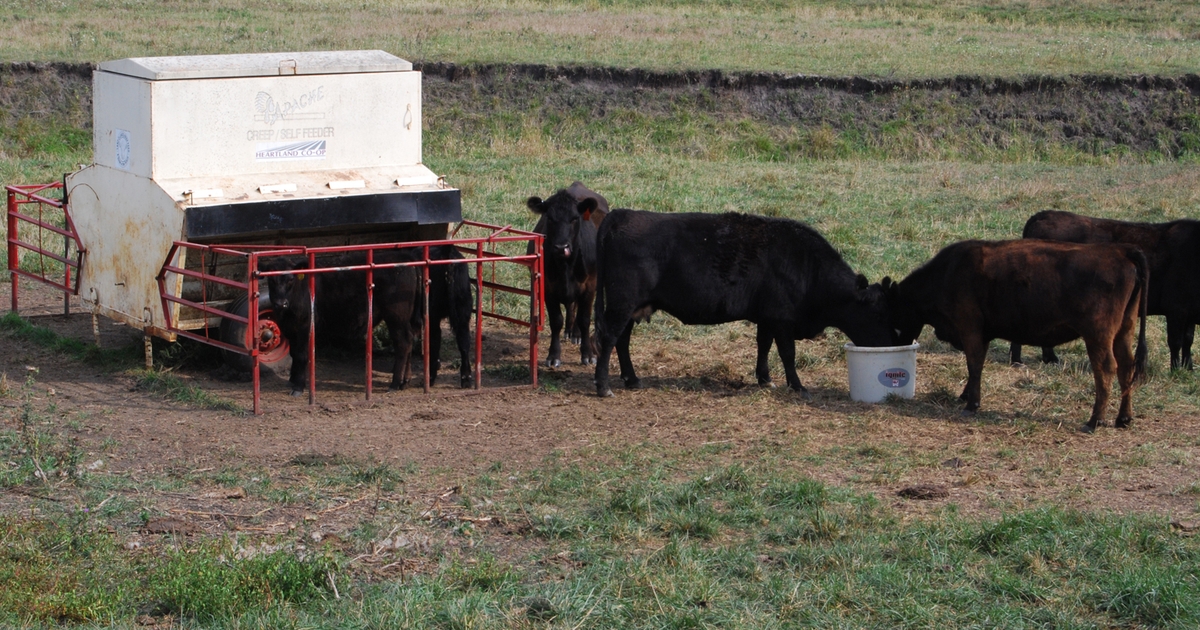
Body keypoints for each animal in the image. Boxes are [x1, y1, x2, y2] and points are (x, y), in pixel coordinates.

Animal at [527, 181, 609, 367]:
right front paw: (553, 356)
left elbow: (584, 319)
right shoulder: (548, 288)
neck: (566, 266)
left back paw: (576, 334)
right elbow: (556, 321)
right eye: (550, 218)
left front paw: (587, 354)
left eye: (574, 218)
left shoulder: (589, 286)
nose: (561, 247)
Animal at [592, 210, 898, 399]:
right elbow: (787, 353)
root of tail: (623, 214)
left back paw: (632, 379)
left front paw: (764, 378)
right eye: (879, 315)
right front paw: (797, 386)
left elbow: (763, 346)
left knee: (622, 340)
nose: (893, 342)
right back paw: (603, 386)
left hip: (632, 307)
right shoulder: (782, 319)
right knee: (608, 338)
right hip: (621, 303)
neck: (808, 268)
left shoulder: (767, 317)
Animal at [882, 239, 1148, 432]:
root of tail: (1120, 251)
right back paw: (1123, 418)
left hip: (1098, 336)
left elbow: (974, 363)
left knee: (1106, 369)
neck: (948, 272)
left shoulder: (970, 328)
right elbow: (976, 366)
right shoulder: (981, 334)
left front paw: (971, 404)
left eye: (883, 311)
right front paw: (966, 395)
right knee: (1126, 367)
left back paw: (1094, 421)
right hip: (1124, 332)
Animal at [1010, 210, 1200, 370]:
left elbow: (1188, 339)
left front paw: (1188, 368)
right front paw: (1175, 370)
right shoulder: (1176, 309)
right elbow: (1175, 341)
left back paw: (1049, 359)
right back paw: (1017, 360)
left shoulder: (1189, 313)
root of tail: (1043, 215)